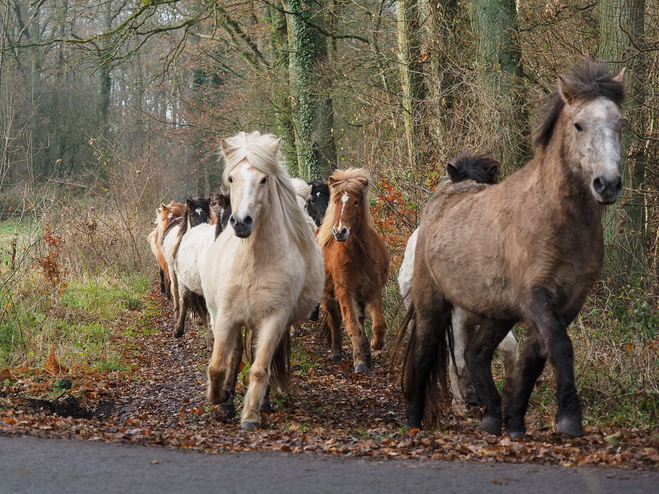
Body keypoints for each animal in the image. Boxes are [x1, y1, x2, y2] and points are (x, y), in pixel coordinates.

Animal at [201, 130, 324, 428]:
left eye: (264, 179)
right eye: (232, 178)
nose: (241, 222)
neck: (254, 261)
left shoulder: (274, 319)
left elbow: (259, 368)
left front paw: (251, 416)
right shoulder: (226, 316)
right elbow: (218, 365)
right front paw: (220, 398)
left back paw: (263, 402)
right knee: (234, 357)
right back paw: (226, 402)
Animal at [318, 168, 390, 372]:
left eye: (356, 202)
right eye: (336, 201)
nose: (339, 232)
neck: (358, 253)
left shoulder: (372, 291)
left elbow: (378, 324)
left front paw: (375, 345)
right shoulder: (345, 292)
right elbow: (353, 326)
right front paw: (359, 362)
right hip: (328, 297)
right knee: (334, 321)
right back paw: (336, 353)